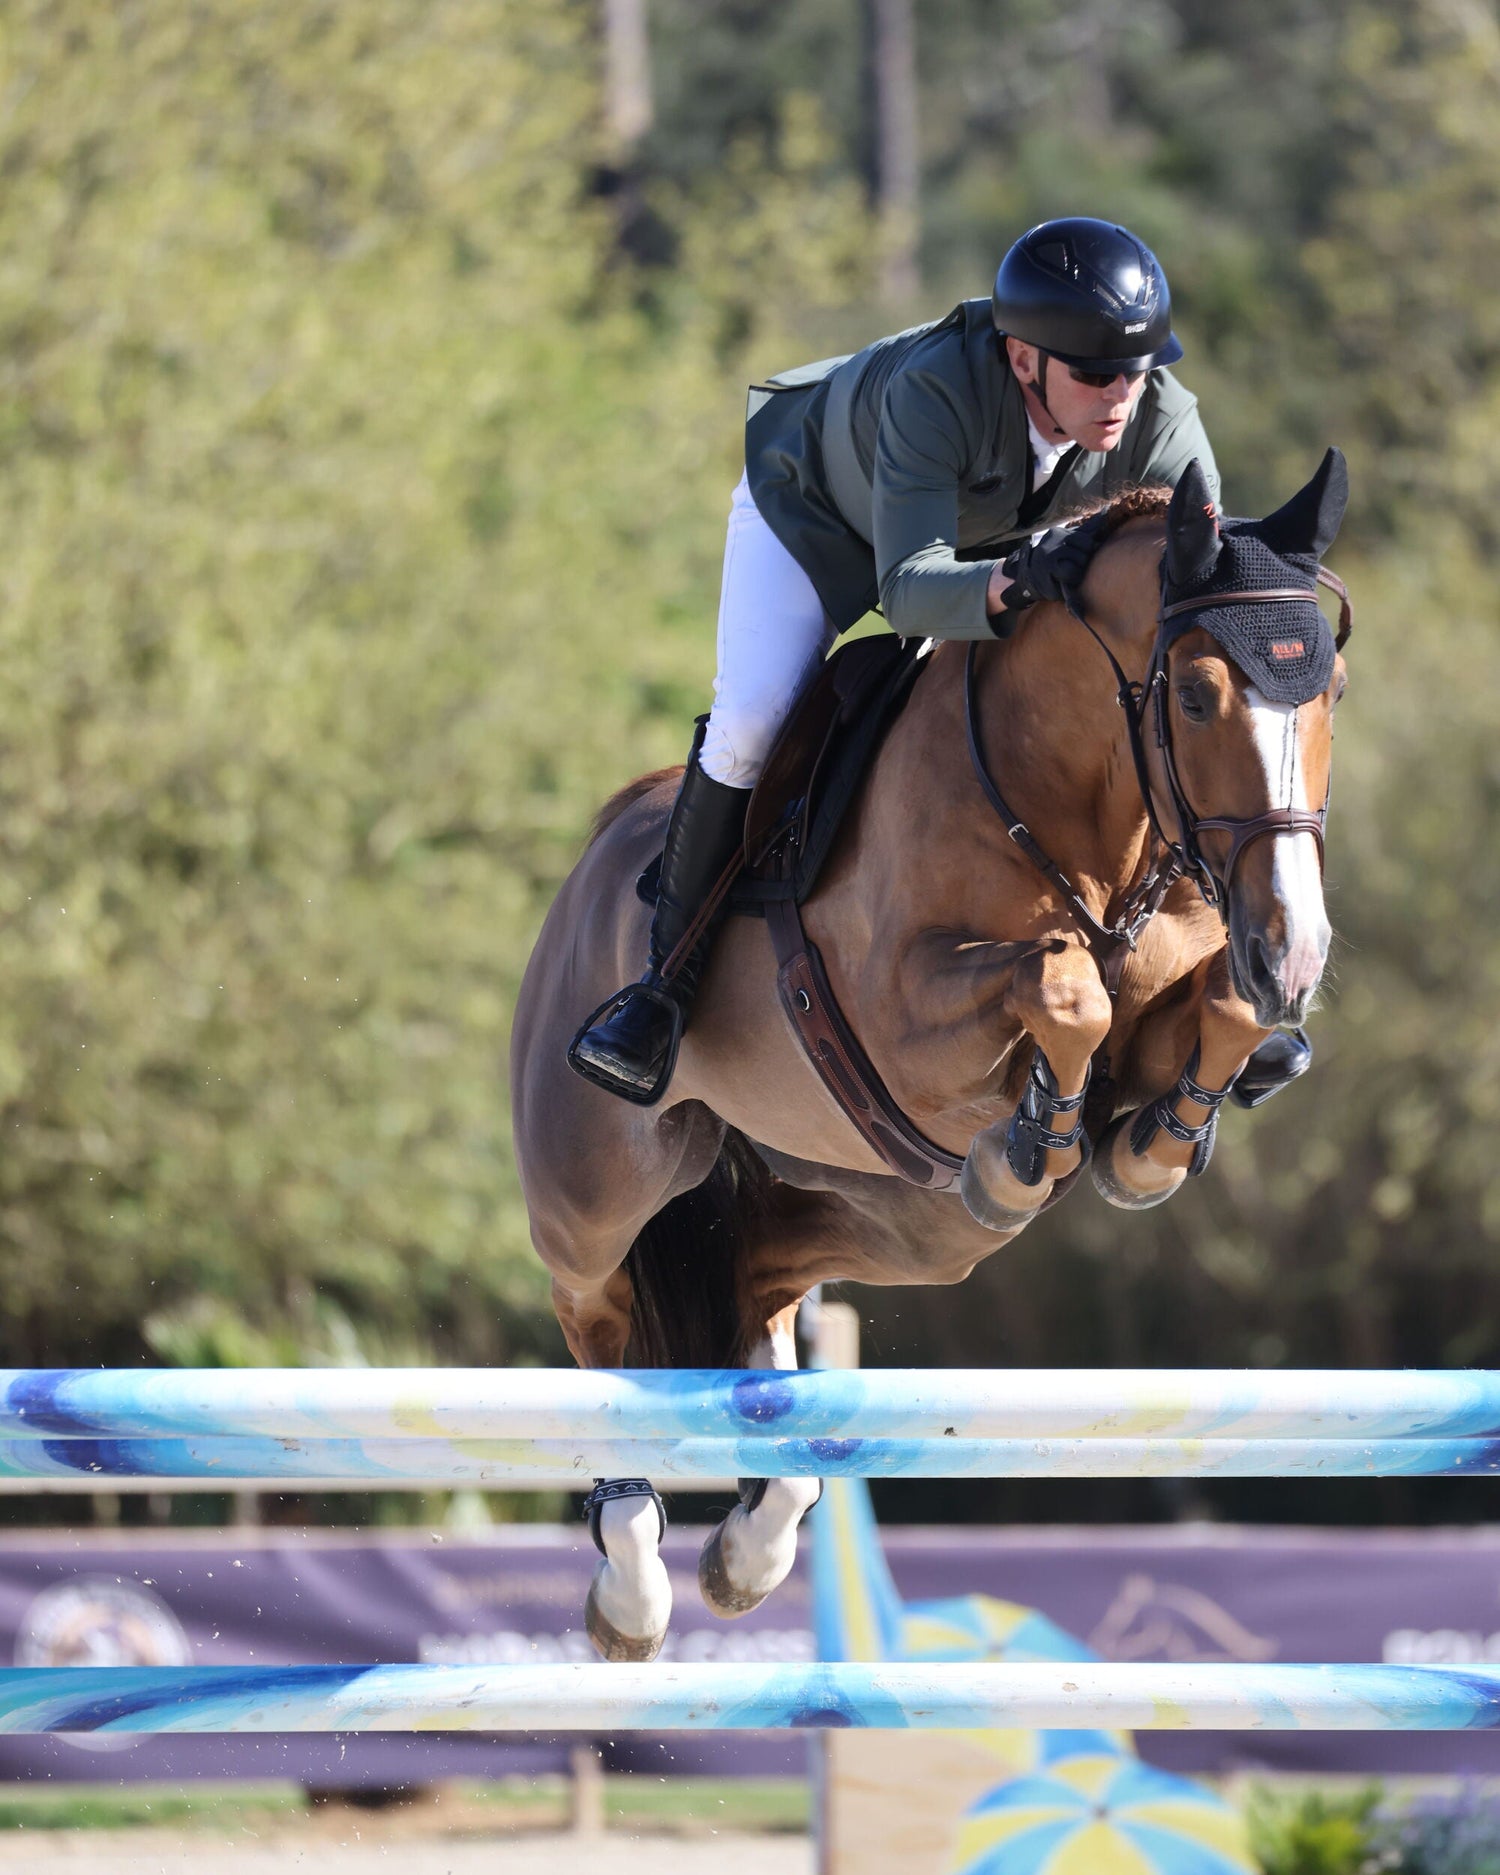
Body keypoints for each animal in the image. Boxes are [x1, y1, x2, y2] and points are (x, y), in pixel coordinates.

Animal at [508, 452, 1350, 1661]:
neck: (1084, 820)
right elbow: (1063, 983)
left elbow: (1213, 1011)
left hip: (896, 1212)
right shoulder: (902, 1017)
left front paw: (1144, 1143)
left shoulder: (1189, 980)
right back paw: (632, 1583)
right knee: (596, 1317)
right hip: (596, 1193)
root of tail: (585, 870)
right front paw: (1038, 1136)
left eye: (1331, 692)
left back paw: (754, 1541)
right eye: (1195, 696)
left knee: (763, 1278)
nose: (1297, 950)